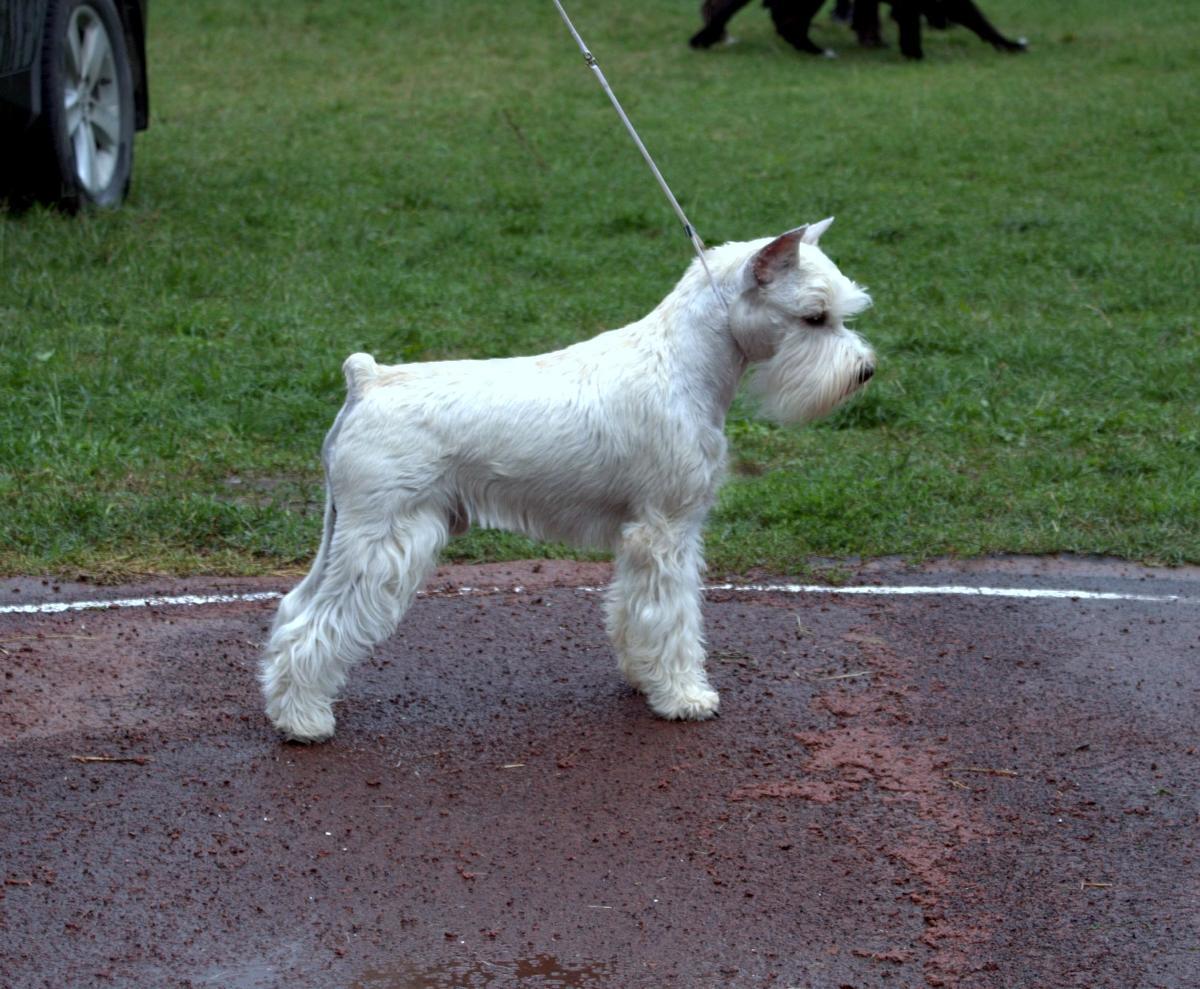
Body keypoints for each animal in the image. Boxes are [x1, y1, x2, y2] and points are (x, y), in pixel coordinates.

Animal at [260, 220, 875, 742]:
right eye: (815, 317)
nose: (865, 371)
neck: (684, 362)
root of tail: (367, 379)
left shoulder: (641, 534)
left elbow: (633, 609)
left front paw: (643, 675)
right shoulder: (668, 530)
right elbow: (674, 617)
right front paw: (683, 695)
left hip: (344, 533)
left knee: (293, 608)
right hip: (383, 540)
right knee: (313, 625)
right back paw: (304, 720)